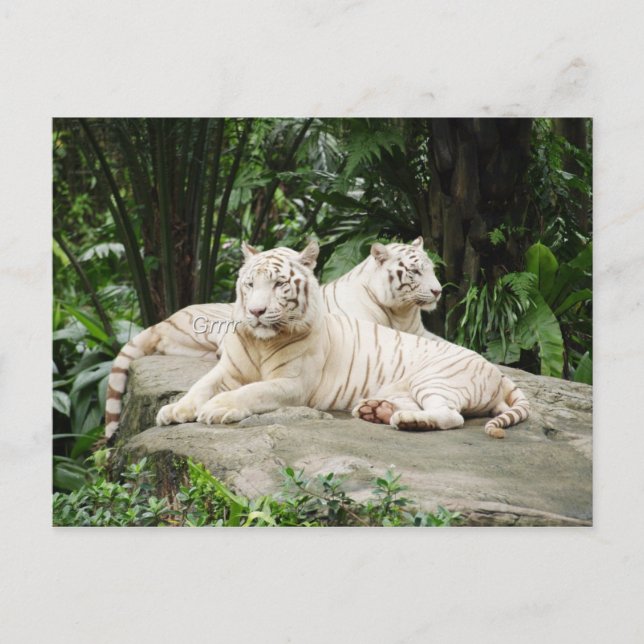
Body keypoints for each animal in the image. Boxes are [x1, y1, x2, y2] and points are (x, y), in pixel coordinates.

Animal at [156, 242, 529, 438]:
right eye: (249, 284)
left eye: (279, 284)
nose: (256, 311)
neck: (261, 341)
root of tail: (497, 372)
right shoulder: (227, 370)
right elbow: (199, 386)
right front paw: (175, 410)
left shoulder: (292, 384)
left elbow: (251, 392)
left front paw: (217, 408)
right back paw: (376, 410)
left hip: (435, 379)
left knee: (451, 416)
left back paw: (408, 421)